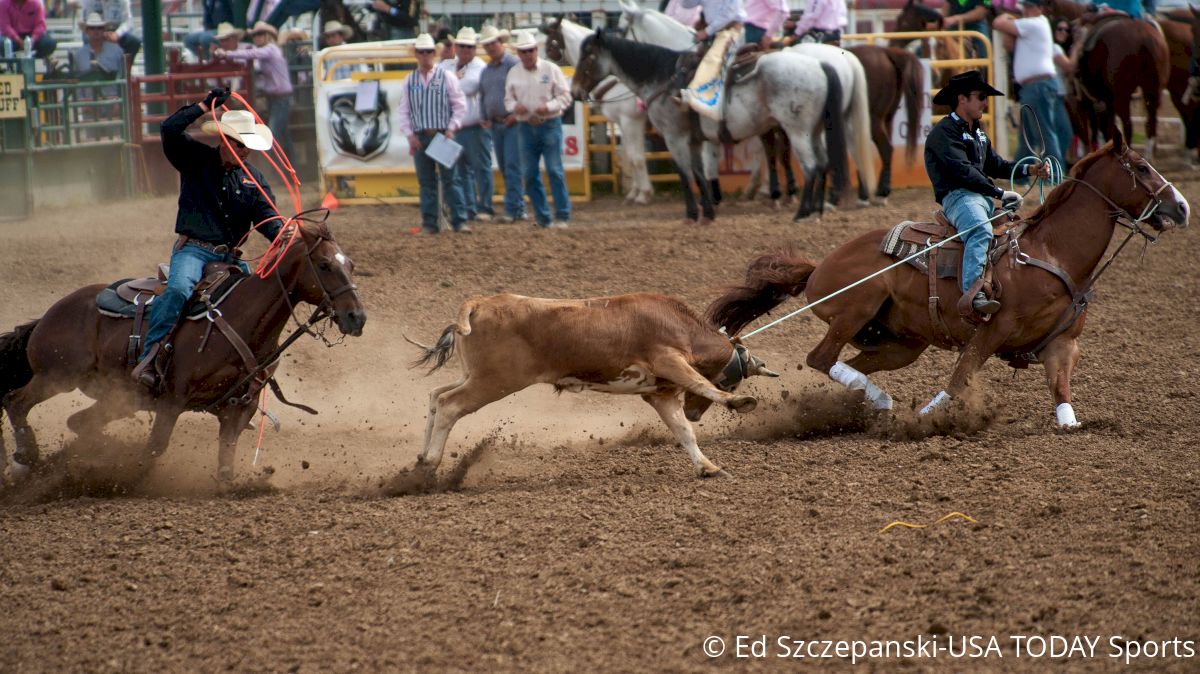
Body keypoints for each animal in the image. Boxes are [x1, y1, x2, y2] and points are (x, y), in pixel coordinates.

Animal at [0, 214, 364, 482]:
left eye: (351, 265)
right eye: (325, 265)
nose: (357, 317)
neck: (242, 319)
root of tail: (50, 315)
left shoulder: (237, 409)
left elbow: (225, 464)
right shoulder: (172, 401)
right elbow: (154, 450)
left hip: (116, 395)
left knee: (78, 421)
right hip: (57, 376)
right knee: (16, 401)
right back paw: (28, 457)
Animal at [705, 128, 1185, 426]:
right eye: (1142, 168)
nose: (1181, 207)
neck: (1049, 252)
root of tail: (818, 267)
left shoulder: (1064, 342)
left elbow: (1061, 388)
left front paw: (1071, 423)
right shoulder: (994, 328)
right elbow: (960, 378)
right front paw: (927, 418)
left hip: (901, 343)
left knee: (851, 364)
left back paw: (870, 403)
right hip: (855, 308)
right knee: (820, 358)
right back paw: (880, 401)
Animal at [1075, 17, 1166, 159]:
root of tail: (1143, 37)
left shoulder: (1098, 103)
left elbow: (1102, 128)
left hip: (1121, 98)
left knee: (1128, 126)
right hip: (1152, 92)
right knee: (1151, 123)